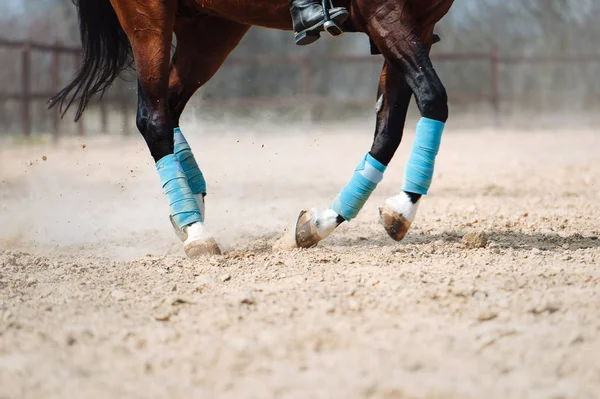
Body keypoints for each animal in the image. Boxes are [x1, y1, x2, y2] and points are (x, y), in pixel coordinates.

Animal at [50, 0, 454, 256]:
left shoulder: (418, 23)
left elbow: (390, 129)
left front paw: (329, 220)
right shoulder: (384, 13)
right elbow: (433, 97)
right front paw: (402, 204)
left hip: (210, 30)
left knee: (170, 106)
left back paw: (189, 210)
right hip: (149, 20)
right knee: (153, 118)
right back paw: (196, 231)